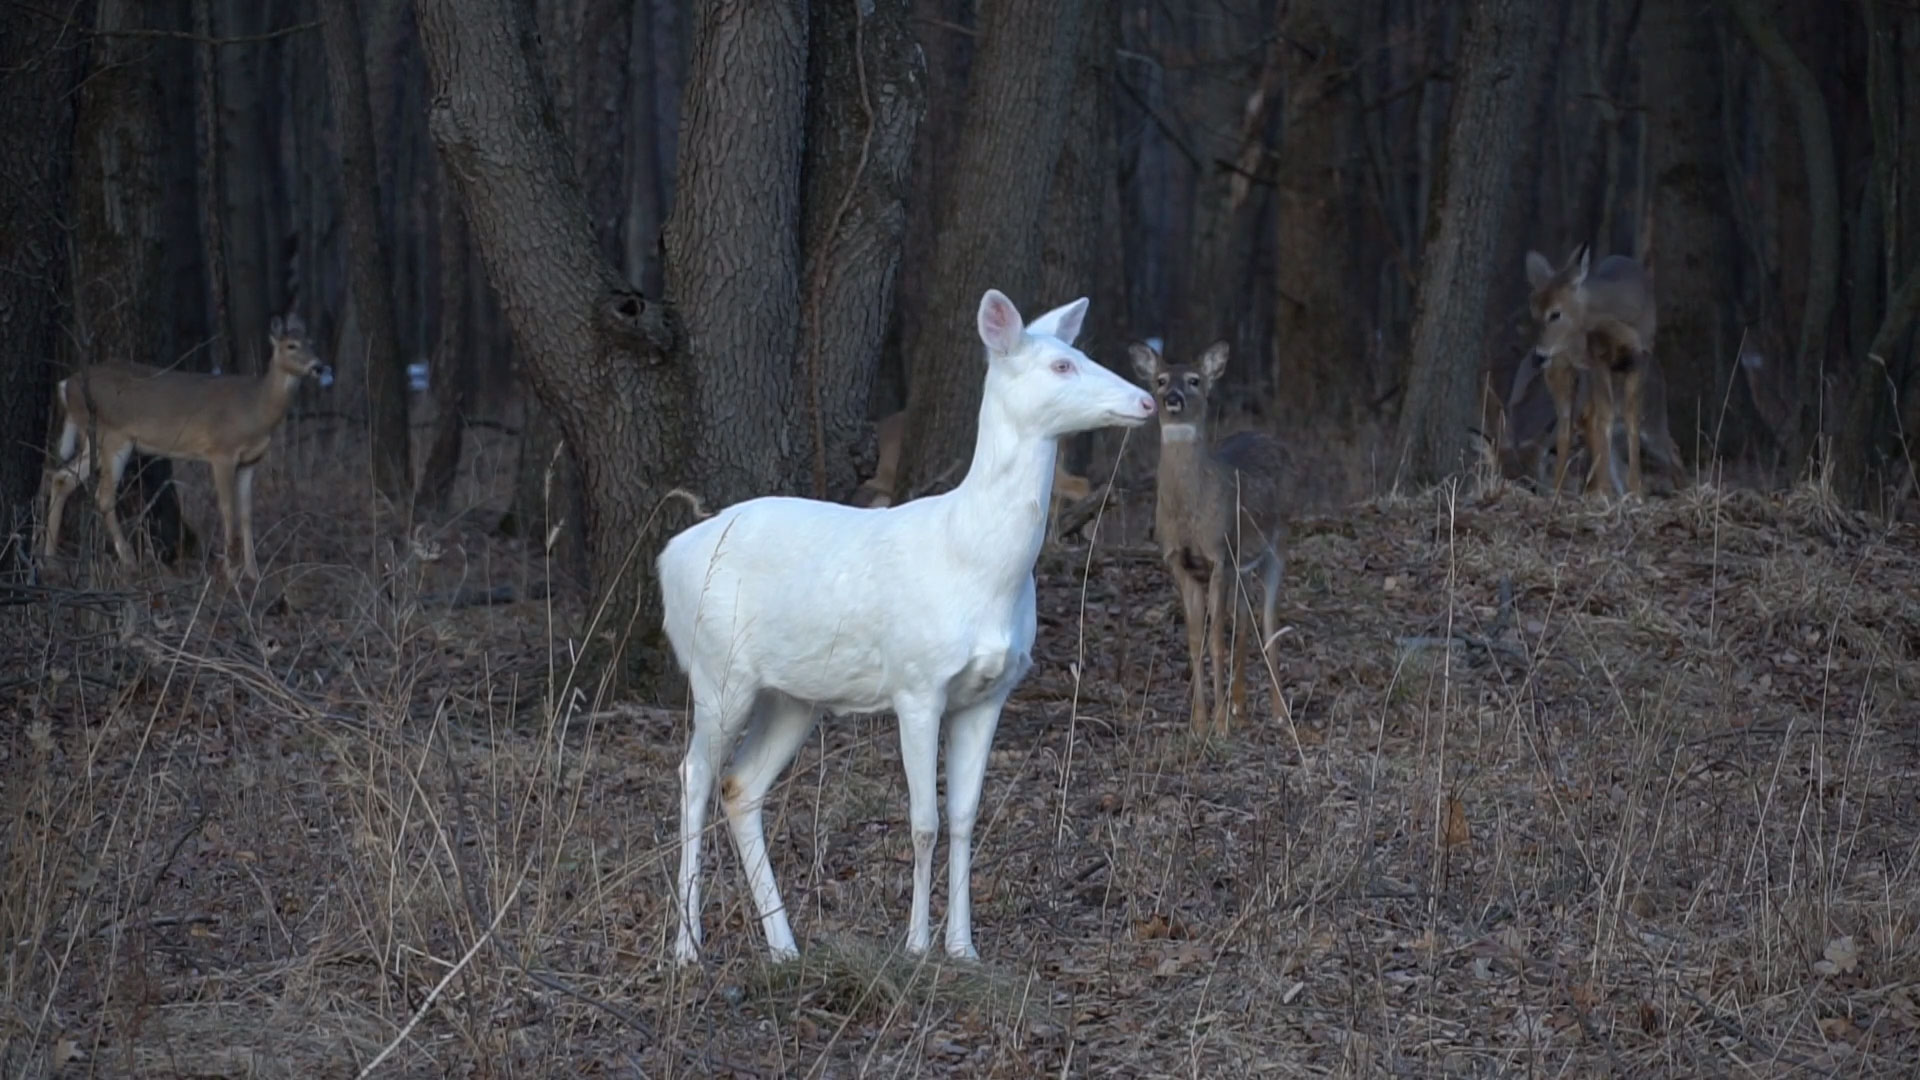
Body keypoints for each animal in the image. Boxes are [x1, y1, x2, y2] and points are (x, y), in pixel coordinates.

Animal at [43, 313, 330, 579]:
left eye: (312, 342)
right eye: (291, 345)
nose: (319, 366)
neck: (255, 410)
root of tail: (66, 385)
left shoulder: (250, 461)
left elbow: (247, 513)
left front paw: (253, 572)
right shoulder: (221, 451)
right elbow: (228, 510)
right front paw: (230, 571)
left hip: (94, 441)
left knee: (62, 478)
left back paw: (49, 558)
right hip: (113, 436)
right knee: (102, 497)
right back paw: (128, 560)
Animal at [658, 288, 1155, 966]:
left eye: (1077, 352)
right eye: (1061, 365)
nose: (1147, 400)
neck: (976, 566)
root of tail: (667, 557)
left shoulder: (992, 691)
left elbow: (966, 817)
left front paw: (964, 947)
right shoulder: (916, 683)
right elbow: (923, 821)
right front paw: (917, 945)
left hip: (793, 695)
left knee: (741, 785)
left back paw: (785, 946)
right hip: (718, 669)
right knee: (694, 775)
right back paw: (688, 947)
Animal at [1129, 341, 1289, 736]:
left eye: (1194, 380)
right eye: (1160, 379)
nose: (1172, 397)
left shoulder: (1218, 554)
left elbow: (1216, 640)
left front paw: (1219, 725)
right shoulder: (1181, 562)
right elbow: (1194, 641)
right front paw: (1200, 722)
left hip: (1278, 541)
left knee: (1268, 620)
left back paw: (1278, 711)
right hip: (1242, 564)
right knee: (1244, 621)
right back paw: (1241, 708)